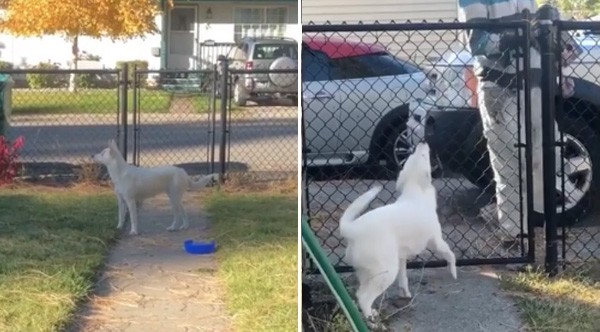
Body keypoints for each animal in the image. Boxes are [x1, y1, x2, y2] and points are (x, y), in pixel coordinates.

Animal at [340, 142, 458, 320]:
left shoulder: (401, 256)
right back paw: (370, 318)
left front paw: (405, 294)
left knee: (360, 292)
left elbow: (404, 279)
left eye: (411, 156)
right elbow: (450, 254)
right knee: (363, 296)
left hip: (368, 271)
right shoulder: (436, 240)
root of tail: (352, 229)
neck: (415, 191)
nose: (422, 142)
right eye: (423, 156)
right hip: (386, 271)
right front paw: (454, 272)